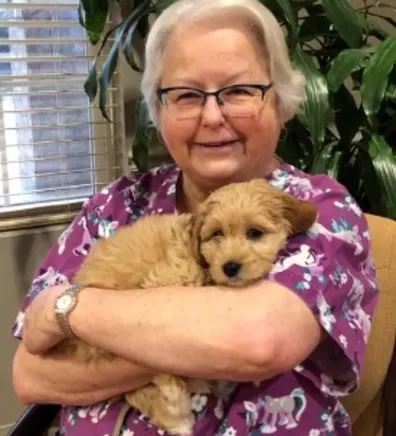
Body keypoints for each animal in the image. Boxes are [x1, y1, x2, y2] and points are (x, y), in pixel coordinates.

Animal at [47, 178, 318, 436]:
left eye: (255, 233)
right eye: (216, 234)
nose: (230, 267)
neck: (201, 261)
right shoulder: (159, 288)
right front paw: (176, 400)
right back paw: (178, 416)